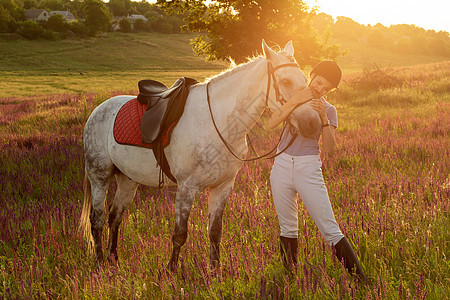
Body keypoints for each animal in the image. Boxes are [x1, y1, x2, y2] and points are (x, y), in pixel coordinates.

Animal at [80, 39, 320, 270]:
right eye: (286, 81)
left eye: (304, 78)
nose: (312, 123)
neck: (220, 123)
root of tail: (99, 109)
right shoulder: (187, 188)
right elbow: (179, 234)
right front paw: (172, 270)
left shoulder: (222, 187)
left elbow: (215, 232)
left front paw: (215, 271)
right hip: (99, 177)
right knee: (97, 219)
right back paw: (100, 264)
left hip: (128, 180)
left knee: (115, 216)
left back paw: (113, 259)